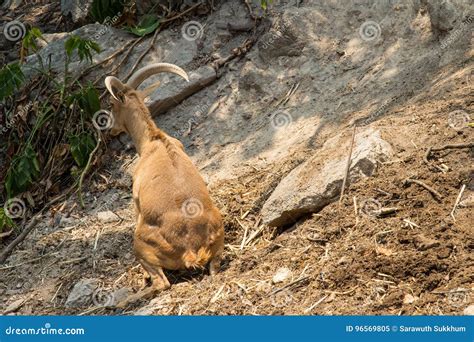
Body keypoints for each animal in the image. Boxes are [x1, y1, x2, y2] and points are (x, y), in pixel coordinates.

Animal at [106, 64, 225, 308]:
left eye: (111, 105)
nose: (109, 129)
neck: (154, 140)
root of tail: (191, 249)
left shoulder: (136, 200)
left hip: (141, 244)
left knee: (162, 283)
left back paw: (120, 301)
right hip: (218, 246)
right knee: (214, 270)